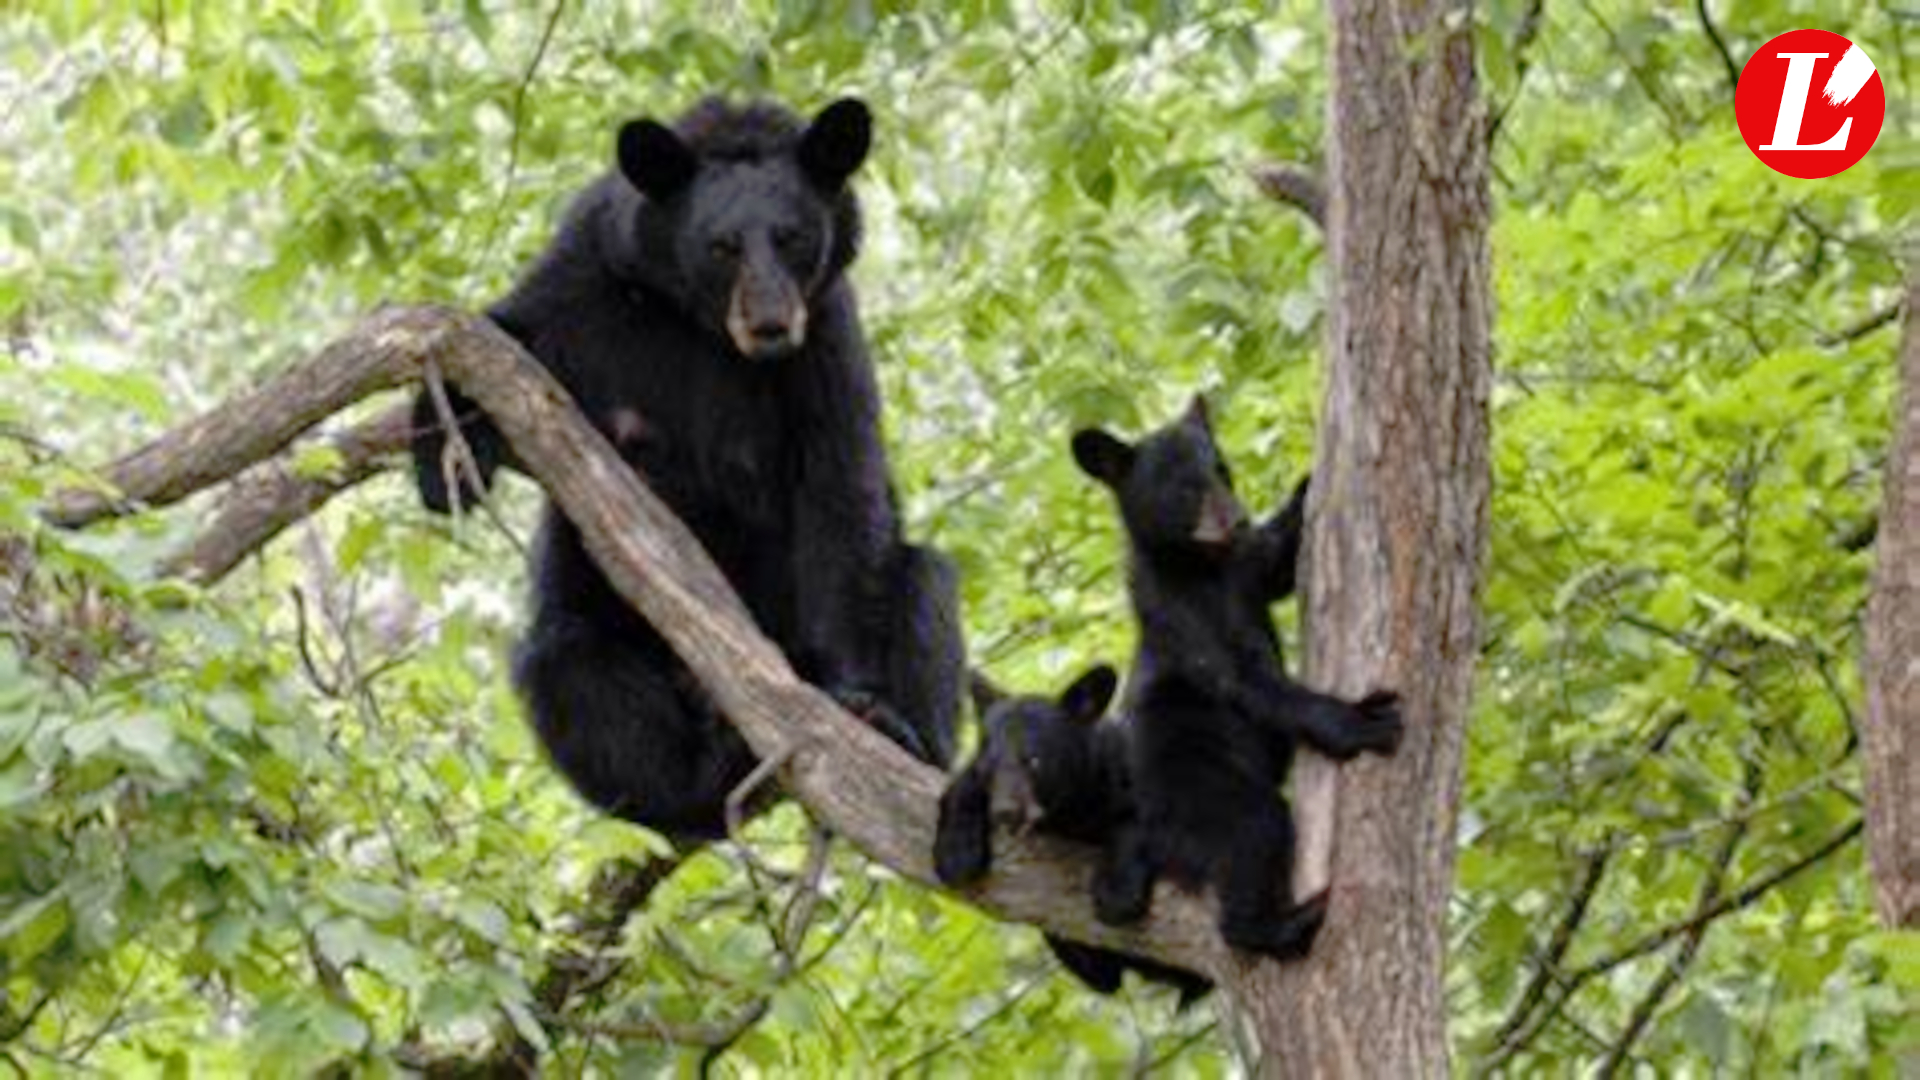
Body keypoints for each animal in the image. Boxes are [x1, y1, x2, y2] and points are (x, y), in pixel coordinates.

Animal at [414, 98, 967, 841]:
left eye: (793, 238)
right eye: (722, 246)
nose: (770, 325)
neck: (703, 326)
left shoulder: (826, 332)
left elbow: (842, 488)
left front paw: (861, 700)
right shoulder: (587, 271)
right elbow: (503, 337)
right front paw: (442, 459)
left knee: (922, 580)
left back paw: (908, 743)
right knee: (567, 663)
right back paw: (694, 785)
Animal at [936, 661, 1205, 1006]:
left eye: (1034, 760)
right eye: (990, 763)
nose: (1006, 813)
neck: (1068, 813)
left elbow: (1141, 822)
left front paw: (1116, 892)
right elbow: (962, 787)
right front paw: (956, 854)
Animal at [1075, 399, 1405, 953]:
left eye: (1221, 469)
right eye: (1185, 486)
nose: (1237, 520)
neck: (1202, 565)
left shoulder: (1245, 568)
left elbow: (1276, 565)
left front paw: (1306, 486)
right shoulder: (1179, 614)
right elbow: (1246, 681)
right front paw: (1364, 721)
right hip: (1197, 788)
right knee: (1255, 829)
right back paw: (1284, 923)